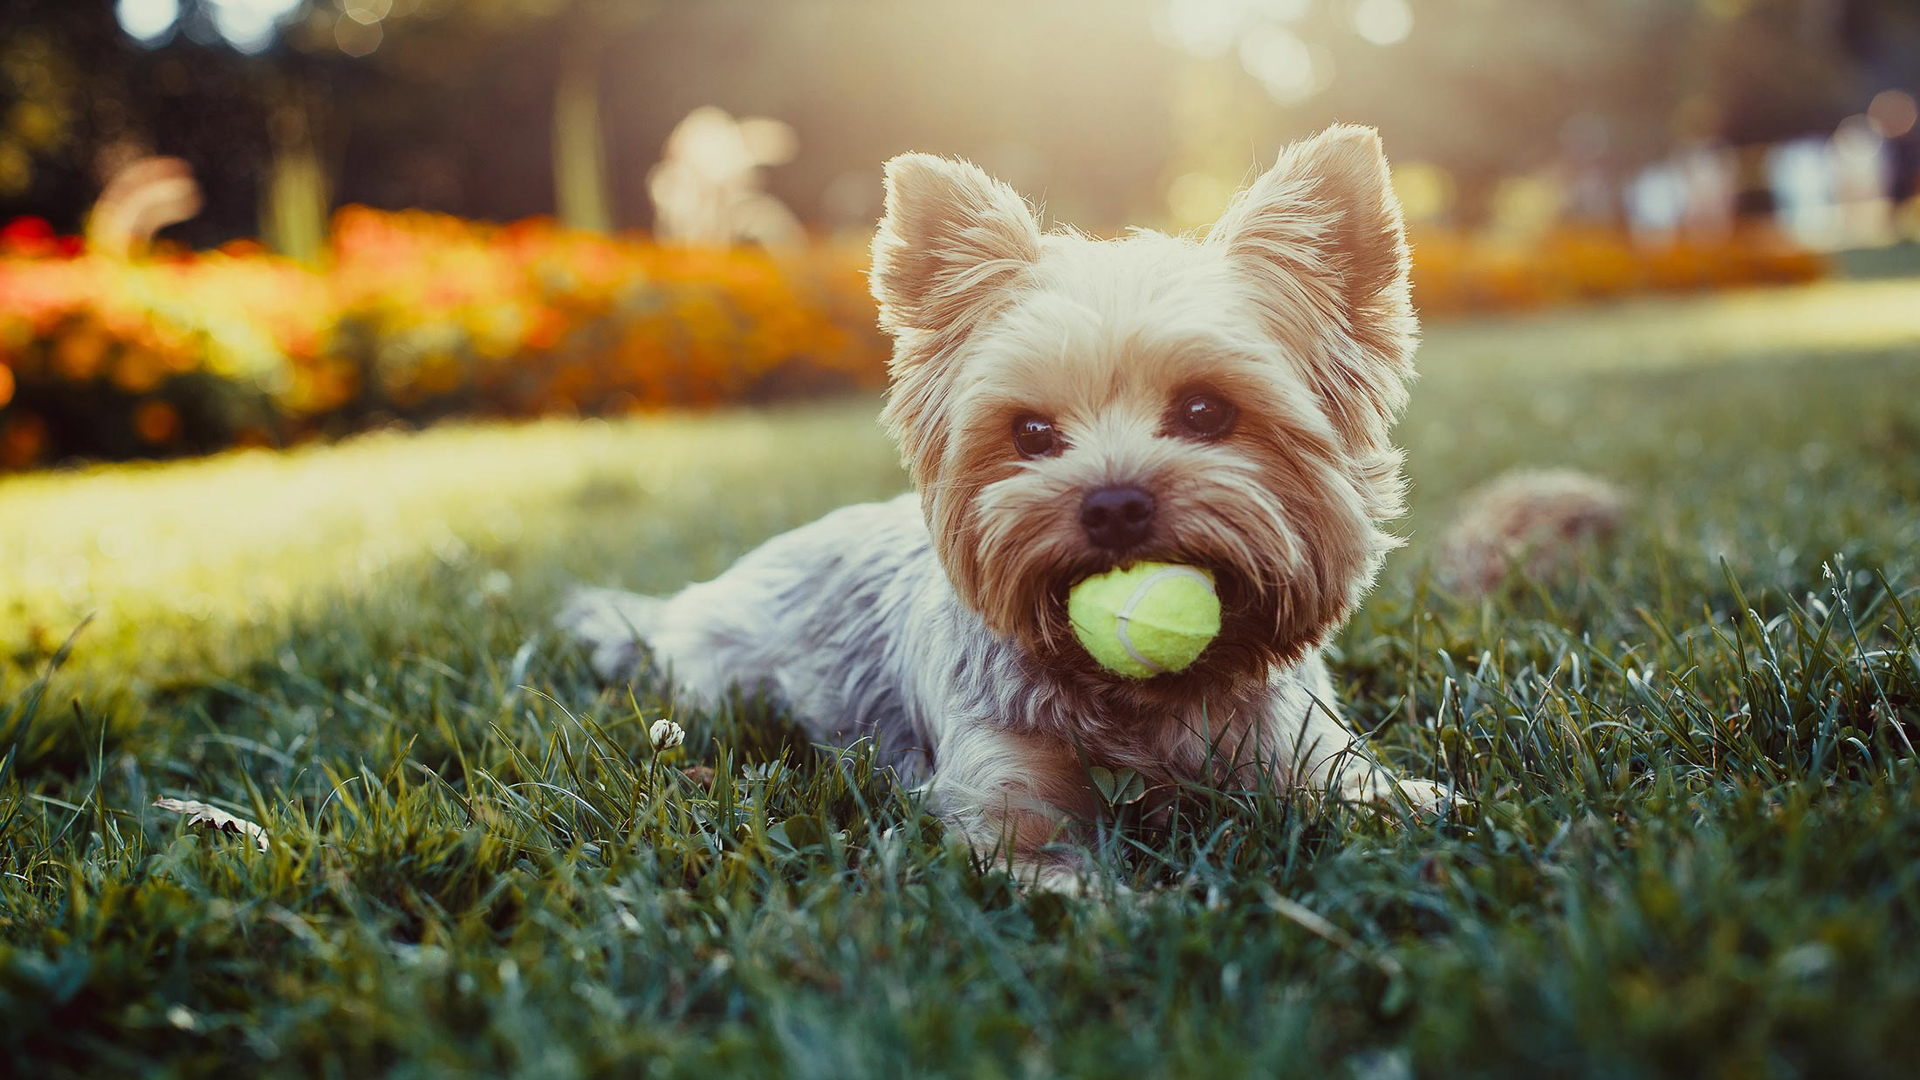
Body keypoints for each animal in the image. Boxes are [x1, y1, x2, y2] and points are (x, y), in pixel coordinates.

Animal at [560, 125, 1443, 887]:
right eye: (1031, 432)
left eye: (1204, 411)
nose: (1113, 504)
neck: (1149, 703)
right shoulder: (1004, 797)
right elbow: (1053, 873)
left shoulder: (1306, 750)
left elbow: (1392, 801)